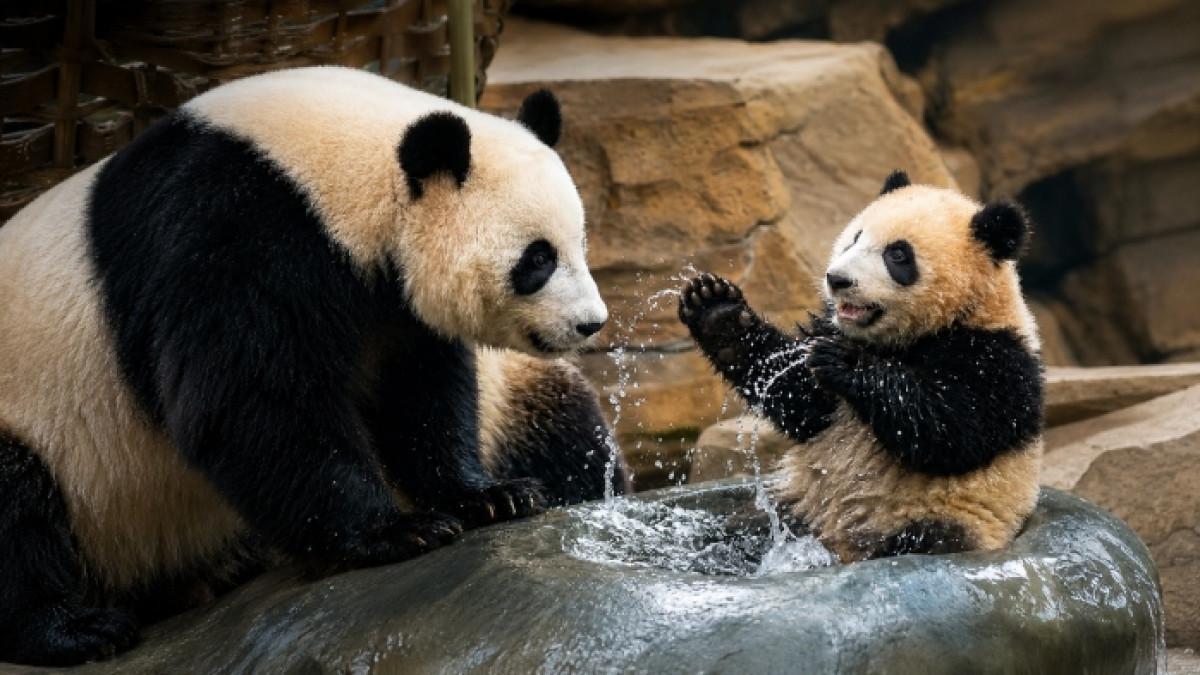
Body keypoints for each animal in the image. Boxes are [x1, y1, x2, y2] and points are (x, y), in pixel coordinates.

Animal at [0, 66, 623, 666]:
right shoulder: (228, 231)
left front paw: (488, 496)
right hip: (37, 412)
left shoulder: (383, 299)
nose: (590, 323)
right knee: (19, 507)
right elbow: (250, 402)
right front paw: (396, 531)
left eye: (581, 243)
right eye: (537, 259)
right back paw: (75, 630)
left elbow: (418, 390)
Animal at [678, 171, 1043, 563]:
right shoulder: (830, 328)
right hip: (802, 502)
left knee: (934, 539)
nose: (837, 279)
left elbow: (948, 429)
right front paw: (716, 311)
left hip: (948, 518)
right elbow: (802, 402)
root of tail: (841, 546)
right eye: (854, 238)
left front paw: (847, 362)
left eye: (897, 254)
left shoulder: (998, 360)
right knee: (748, 525)